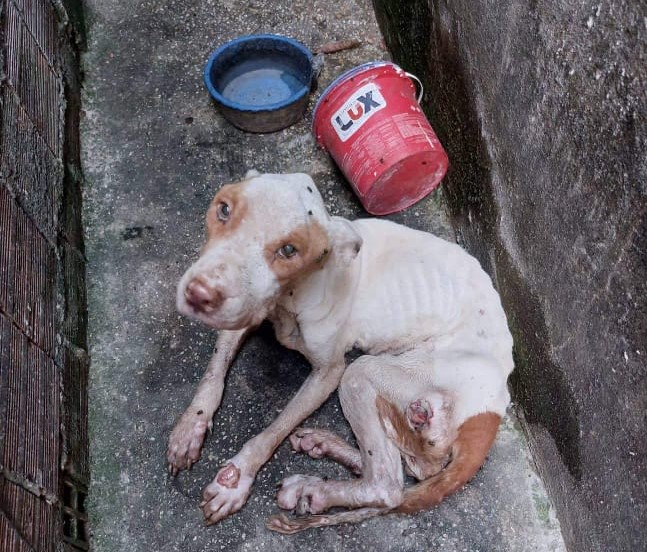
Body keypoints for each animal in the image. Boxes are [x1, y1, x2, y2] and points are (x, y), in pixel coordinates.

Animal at [170, 170, 512, 532]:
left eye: (289, 250)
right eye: (224, 210)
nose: (199, 294)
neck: (291, 297)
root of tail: (495, 405)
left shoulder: (329, 373)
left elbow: (273, 431)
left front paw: (237, 478)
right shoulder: (242, 314)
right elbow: (214, 373)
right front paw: (190, 429)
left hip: (363, 373)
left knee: (389, 486)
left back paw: (316, 488)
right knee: (411, 467)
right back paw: (327, 450)